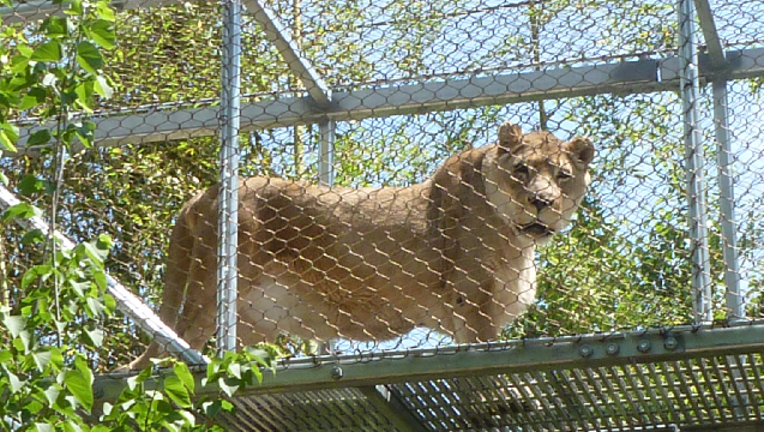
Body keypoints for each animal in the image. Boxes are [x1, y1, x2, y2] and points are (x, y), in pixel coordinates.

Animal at [119, 121, 594, 371]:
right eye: (522, 170)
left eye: (562, 175)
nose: (542, 201)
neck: (515, 236)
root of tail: (203, 193)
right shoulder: (472, 298)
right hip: (212, 286)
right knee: (179, 345)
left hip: (252, 318)